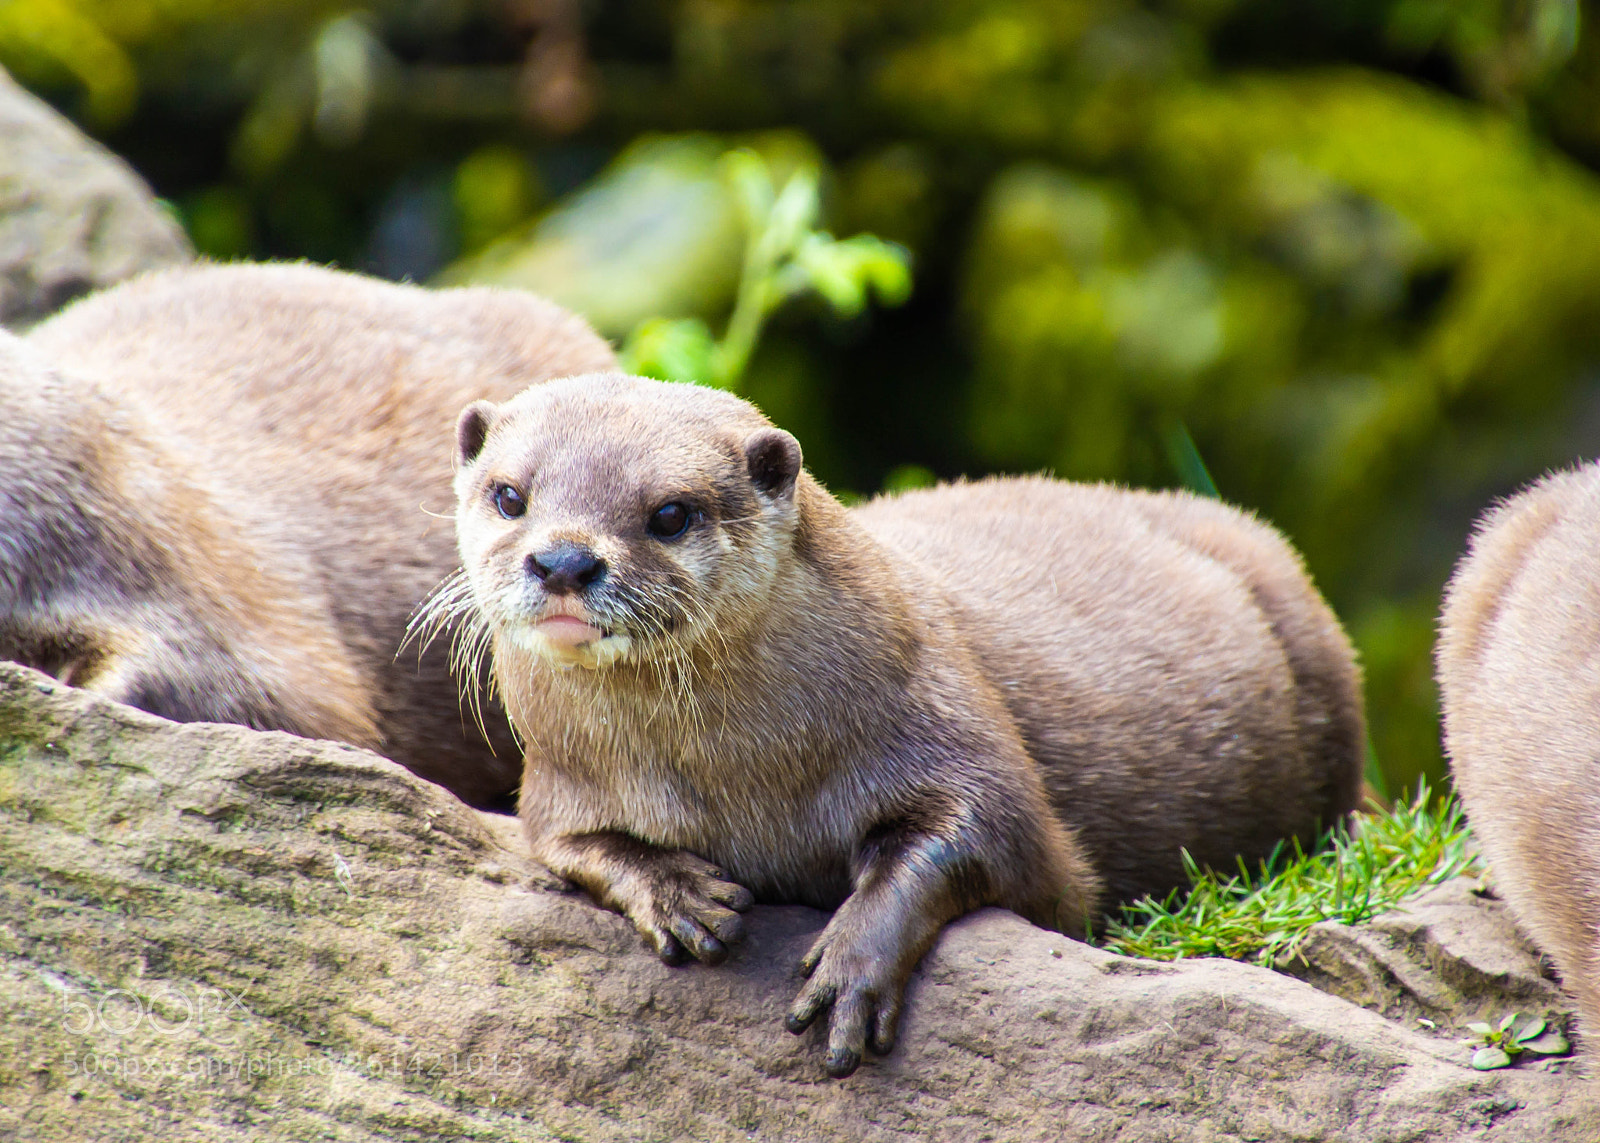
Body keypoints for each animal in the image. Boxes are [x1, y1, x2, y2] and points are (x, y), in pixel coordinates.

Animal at [436, 373, 1365, 1076]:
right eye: (510, 495)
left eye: (669, 512)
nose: (562, 559)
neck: (737, 781)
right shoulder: (559, 780)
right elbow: (566, 844)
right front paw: (675, 891)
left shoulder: (940, 710)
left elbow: (992, 840)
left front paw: (852, 965)